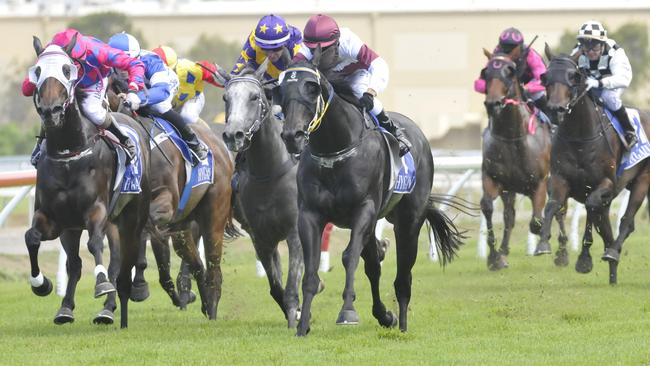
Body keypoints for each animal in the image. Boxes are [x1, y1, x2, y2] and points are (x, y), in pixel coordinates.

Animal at [24, 35, 150, 328]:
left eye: (67, 70)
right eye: (37, 71)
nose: (51, 111)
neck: (69, 152)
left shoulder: (97, 211)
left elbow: (94, 244)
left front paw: (102, 284)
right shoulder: (54, 218)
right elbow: (32, 237)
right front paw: (41, 284)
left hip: (127, 216)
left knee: (119, 261)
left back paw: (110, 308)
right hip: (76, 229)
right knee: (76, 264)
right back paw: (66, 309)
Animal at [219, 63, 302, 328]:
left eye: (254, 97)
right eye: (226, 98)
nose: (233, 135)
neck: (270, 172)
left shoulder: (295, 232)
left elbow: (292, 285)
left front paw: (295, 318)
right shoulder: (261, 239)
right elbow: (276, 287)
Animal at [276, 50, 464, 334]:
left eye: (312, 88)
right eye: (281, 90)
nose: (292, 135)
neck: (335, 150)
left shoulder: (363, 209)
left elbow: (349, 257)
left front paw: (347, 311)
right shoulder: (309, 214)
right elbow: (311, 270)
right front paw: (303, 324)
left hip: (408, 221)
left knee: (403, 276)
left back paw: (402, 324)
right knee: (374, 264)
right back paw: (384, 315)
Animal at [478, 50, 564, 270]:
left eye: (510, 72)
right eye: (485, 72)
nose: (493, 103)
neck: (512, 137)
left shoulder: (539, 183)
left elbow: (537, 221)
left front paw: (544, 241)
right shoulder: (493, 179)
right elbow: (488, 207)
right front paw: (495, 257)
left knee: (559, 210)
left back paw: (563, 253)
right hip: (510, 190)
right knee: (509, 216)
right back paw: (503, 251)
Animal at [536, 45, 648, 284]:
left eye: (573, 76)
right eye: (545, 76)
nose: (556, 109)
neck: (580, 138)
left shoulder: (605, 184)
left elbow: (590, 207)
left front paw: (584, 260)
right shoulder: (560, 180)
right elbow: (552, 206)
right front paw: (543, 243)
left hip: (642, 181)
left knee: (626, 220)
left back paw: (613, 251)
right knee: (608, 228)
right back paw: (613, 271)